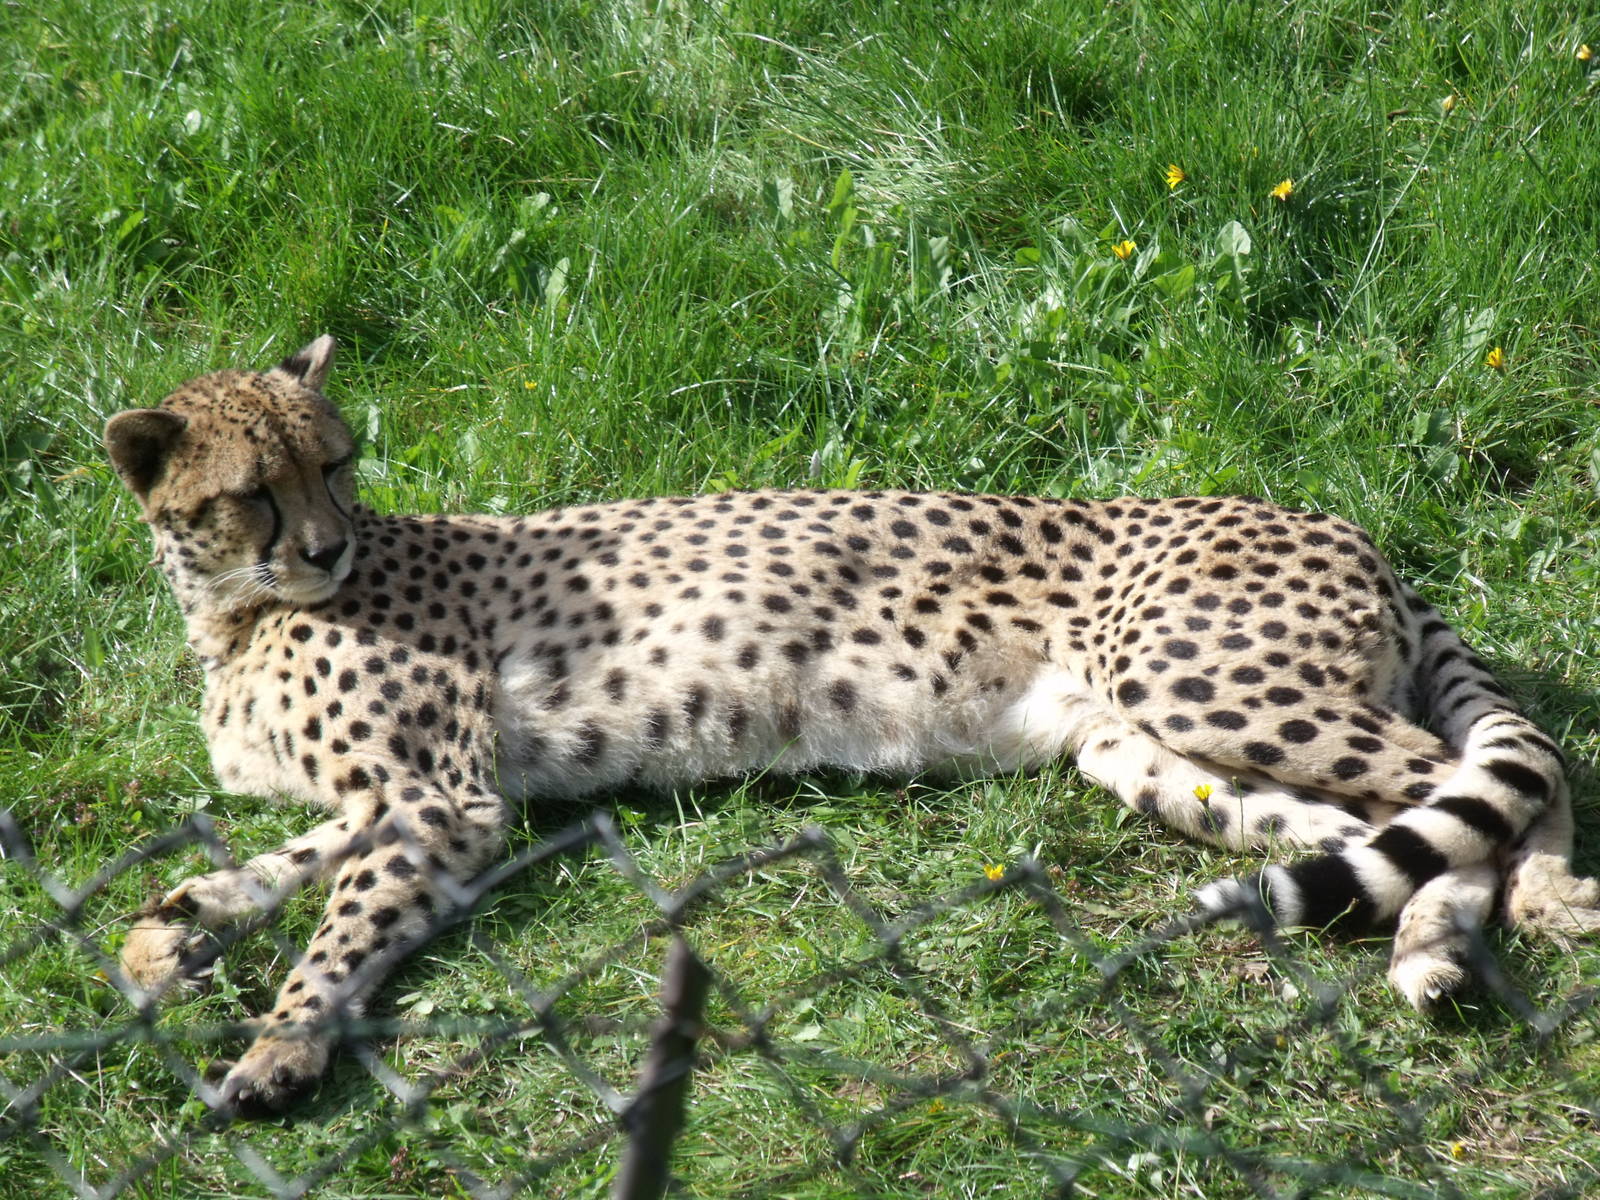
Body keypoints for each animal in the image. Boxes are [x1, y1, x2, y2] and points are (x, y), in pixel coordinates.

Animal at [105, 336, 1600, 1117]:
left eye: (337, 459)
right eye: (254, 488)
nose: (327, 545)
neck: (232, 613)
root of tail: (1331, 518)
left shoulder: (440, 798)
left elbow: (341, 923)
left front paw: (276, 1047)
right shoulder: (413, 802)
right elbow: (267, 872)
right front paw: (168, 939)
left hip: (1203, 680)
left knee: (1508, 765)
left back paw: (1526, 908)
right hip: (1154, 752)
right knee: (1394, 817)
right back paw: (1431, 948)